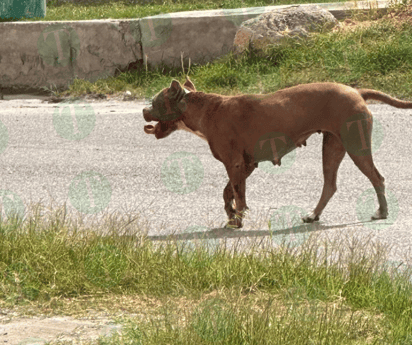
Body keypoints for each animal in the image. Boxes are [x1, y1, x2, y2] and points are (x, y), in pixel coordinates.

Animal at [142, 78, 412, 228]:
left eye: (154, 102)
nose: (144, 110)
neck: (203, 108)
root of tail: (357, 91)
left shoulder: (235, 164)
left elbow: (238, 194)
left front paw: (237, 220)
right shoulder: (246, 165)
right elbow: (228, 191)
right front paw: (231, 212)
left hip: (356, 146)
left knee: (377, 178)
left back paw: (382, 212)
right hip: (332, 148)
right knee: (330, 185)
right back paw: (314, 215)